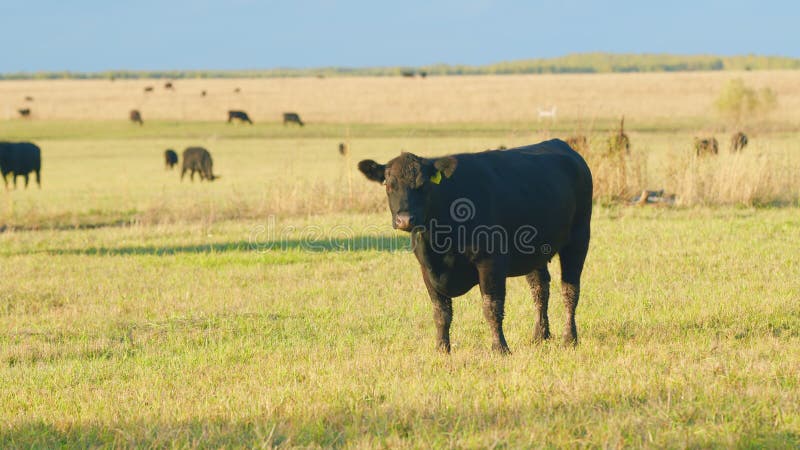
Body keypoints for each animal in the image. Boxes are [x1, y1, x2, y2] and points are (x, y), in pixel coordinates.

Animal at [360, 139, 592, 354]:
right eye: (388, 185)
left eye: (424, 185)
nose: (405, 219)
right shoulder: (426, 268)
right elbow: (441, 312)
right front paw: (442, 349)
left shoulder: (491, 262)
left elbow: (491, 308)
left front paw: (500, 348)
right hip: (536, 251)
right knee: (540, 289)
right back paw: (539, 336)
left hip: (579, 239)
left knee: (570, 290)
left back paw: (569, 338)